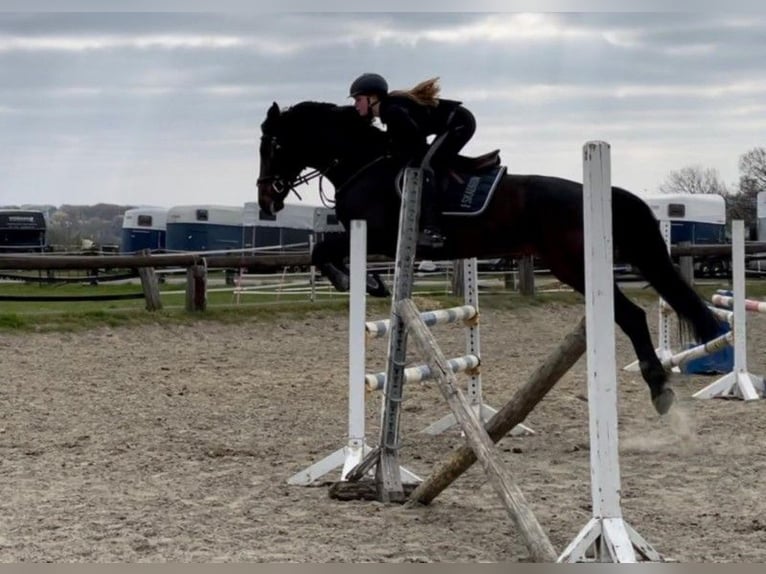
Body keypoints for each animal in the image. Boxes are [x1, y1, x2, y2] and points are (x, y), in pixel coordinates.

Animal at [258, 101, 728, 416]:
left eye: (274, 143)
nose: (266, 200)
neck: (364, 161)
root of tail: (602, 193)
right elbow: (322, 251)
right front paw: (370, 282)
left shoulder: (376, 233)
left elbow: (322, 250)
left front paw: (357, 281)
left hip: (572, 264)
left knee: (630, 315)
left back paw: (659, 387)